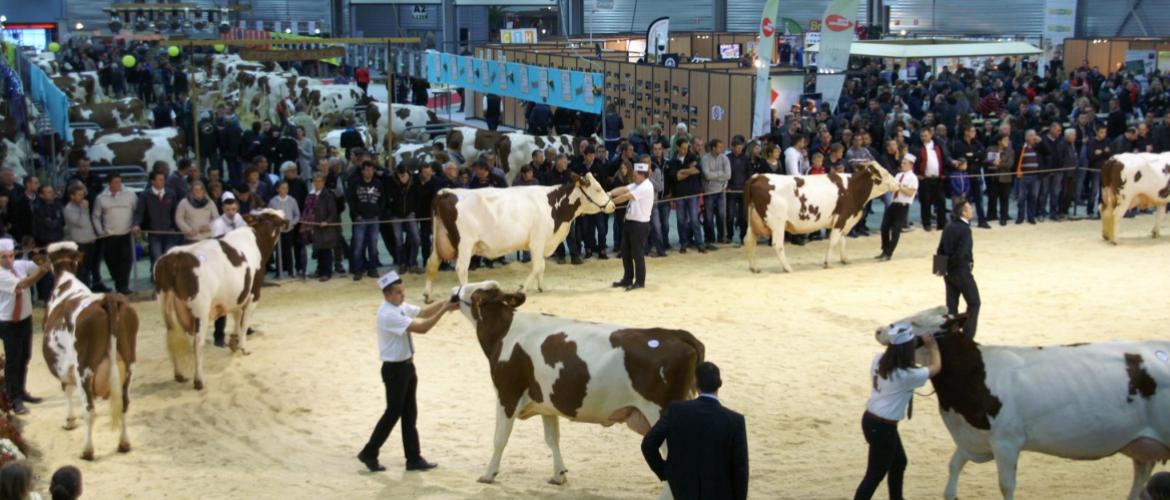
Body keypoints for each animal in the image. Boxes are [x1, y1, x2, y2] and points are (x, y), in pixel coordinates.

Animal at [42, 242, 138, 461]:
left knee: (89, 410)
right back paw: (124, 443)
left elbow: (66, 389)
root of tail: (108, 299)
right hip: (129, 364)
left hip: (84, 369)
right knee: (125, 404)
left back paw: (87, 450)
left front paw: (69, 420)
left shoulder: (65, 366)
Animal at [153, 209, 285, 388]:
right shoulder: (253, 294)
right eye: (274, 217)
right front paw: (244, 347)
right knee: (197, 343)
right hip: (200, 309)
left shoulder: (238, 295)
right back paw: (199, 381)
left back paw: (179, 375)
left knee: (172, 338)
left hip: (166, 307)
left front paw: (234, 342)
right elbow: (244, 322)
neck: (256, 237)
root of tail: (174, 257)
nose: (283, 213)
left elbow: (237, 318)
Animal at [423, 174, 622, 304]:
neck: (553, 205)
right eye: (597, 188)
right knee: (461, 269)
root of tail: (446, 192)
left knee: (431, 264)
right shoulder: (537, 241)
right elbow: (537, 267)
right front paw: (522, 289)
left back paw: (428, 296)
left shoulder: (543, 242)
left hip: (438, 241)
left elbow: (542, 267)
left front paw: (542, 287)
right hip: (465, 243)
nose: (612, 205)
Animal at [739, 162, 893, 274]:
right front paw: (828, 263)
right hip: (777, 223)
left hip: (753, 222)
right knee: (777, 244)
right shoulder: (842, 218)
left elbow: (842, 241)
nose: (897, 184)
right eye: (885, 173)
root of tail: (758, 176)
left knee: (749, 241)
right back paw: (787, 268)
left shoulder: (845, 221)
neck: (852, 188)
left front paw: (845, 259)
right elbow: (834, 241)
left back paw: (754, 268)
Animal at [879, 304, 1170, 500]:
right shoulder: (973, 439)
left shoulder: (1006, 441)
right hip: (1141, 444)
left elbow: (1006, 485)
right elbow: (952, 469)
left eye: (915, 323)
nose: (881, 329)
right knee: (1141, 472)